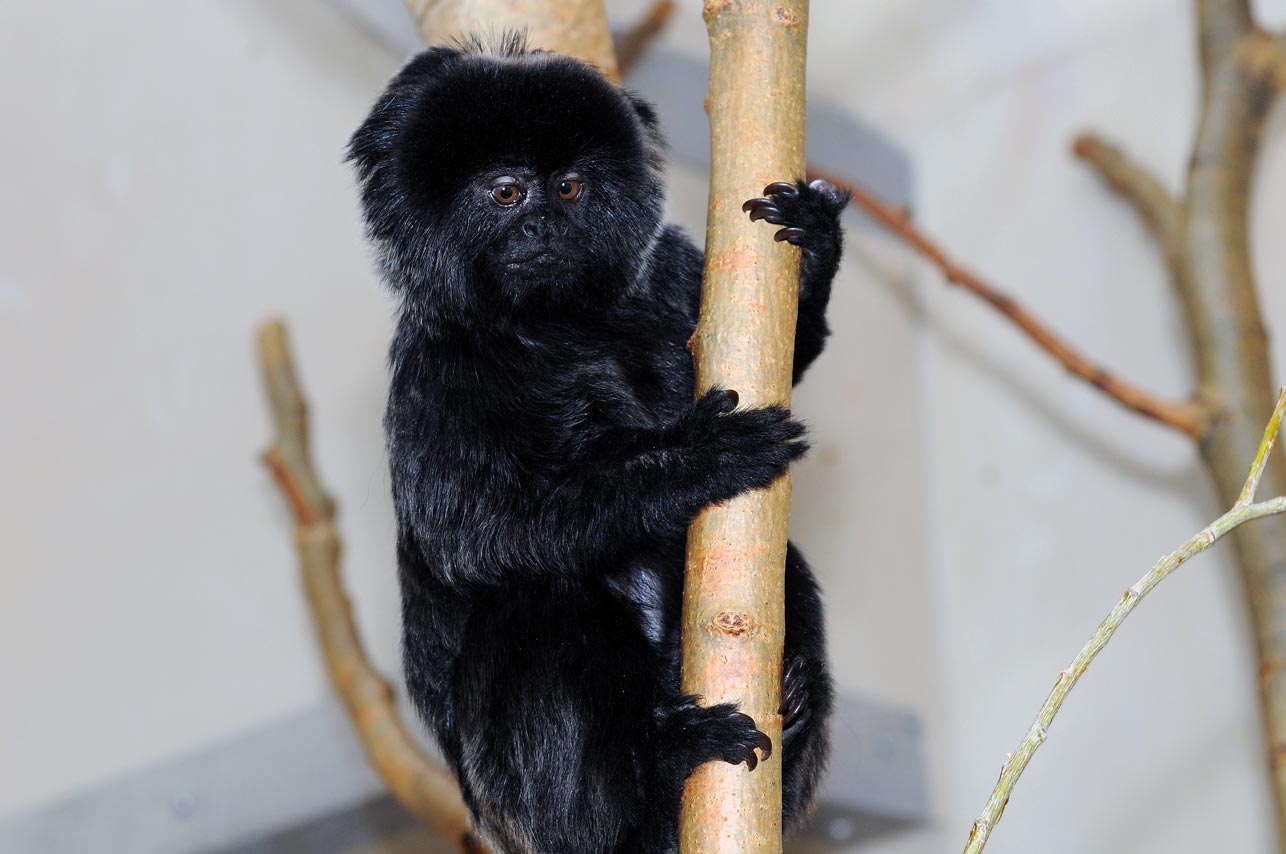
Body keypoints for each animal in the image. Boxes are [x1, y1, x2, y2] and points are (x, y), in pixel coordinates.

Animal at [348, 38, 847, 854]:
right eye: (508, 194)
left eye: (569, 189)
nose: (542, 231)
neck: (556, 329)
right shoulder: (435, 377)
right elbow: (475, 532)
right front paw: (698, 459)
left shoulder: (663, 270)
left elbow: (793, 356)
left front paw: (815, 248)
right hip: (511, 798)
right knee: (538, 598)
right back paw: (653, 789)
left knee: (790, 568)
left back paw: (792, 701)